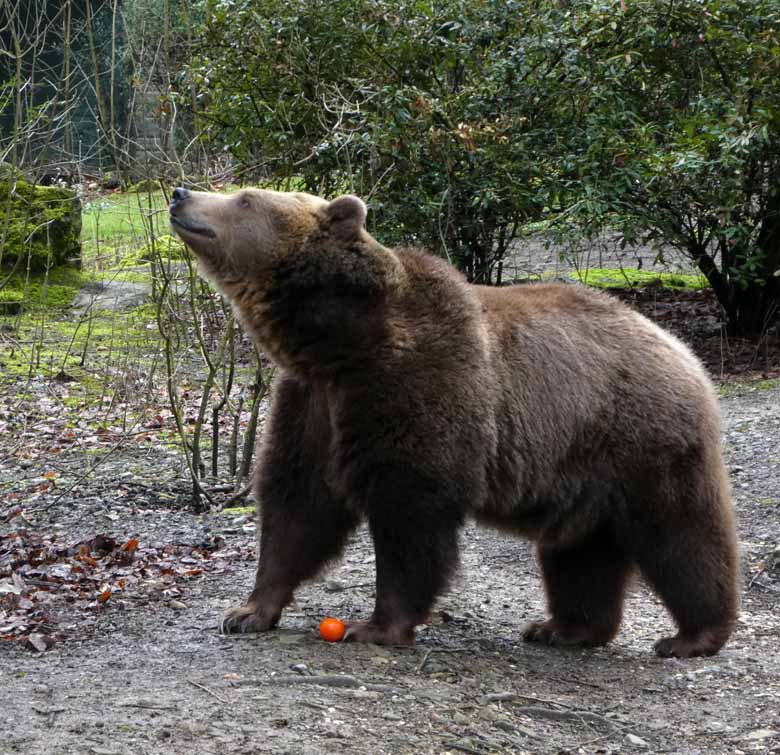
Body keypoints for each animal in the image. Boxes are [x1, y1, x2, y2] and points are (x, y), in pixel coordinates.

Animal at [169, 188, 736, 656]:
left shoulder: (418, 382)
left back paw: (692, 635)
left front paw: (375, 625)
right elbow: (299, 505)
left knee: (680, 533)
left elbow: (410, 513)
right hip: (583, 467)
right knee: (581, 550)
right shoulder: (313, 401)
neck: (340, 342)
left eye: (245, 198)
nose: (179, 194)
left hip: (642, 439)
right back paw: (564, 628)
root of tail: (684, 352)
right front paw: (247, 611)